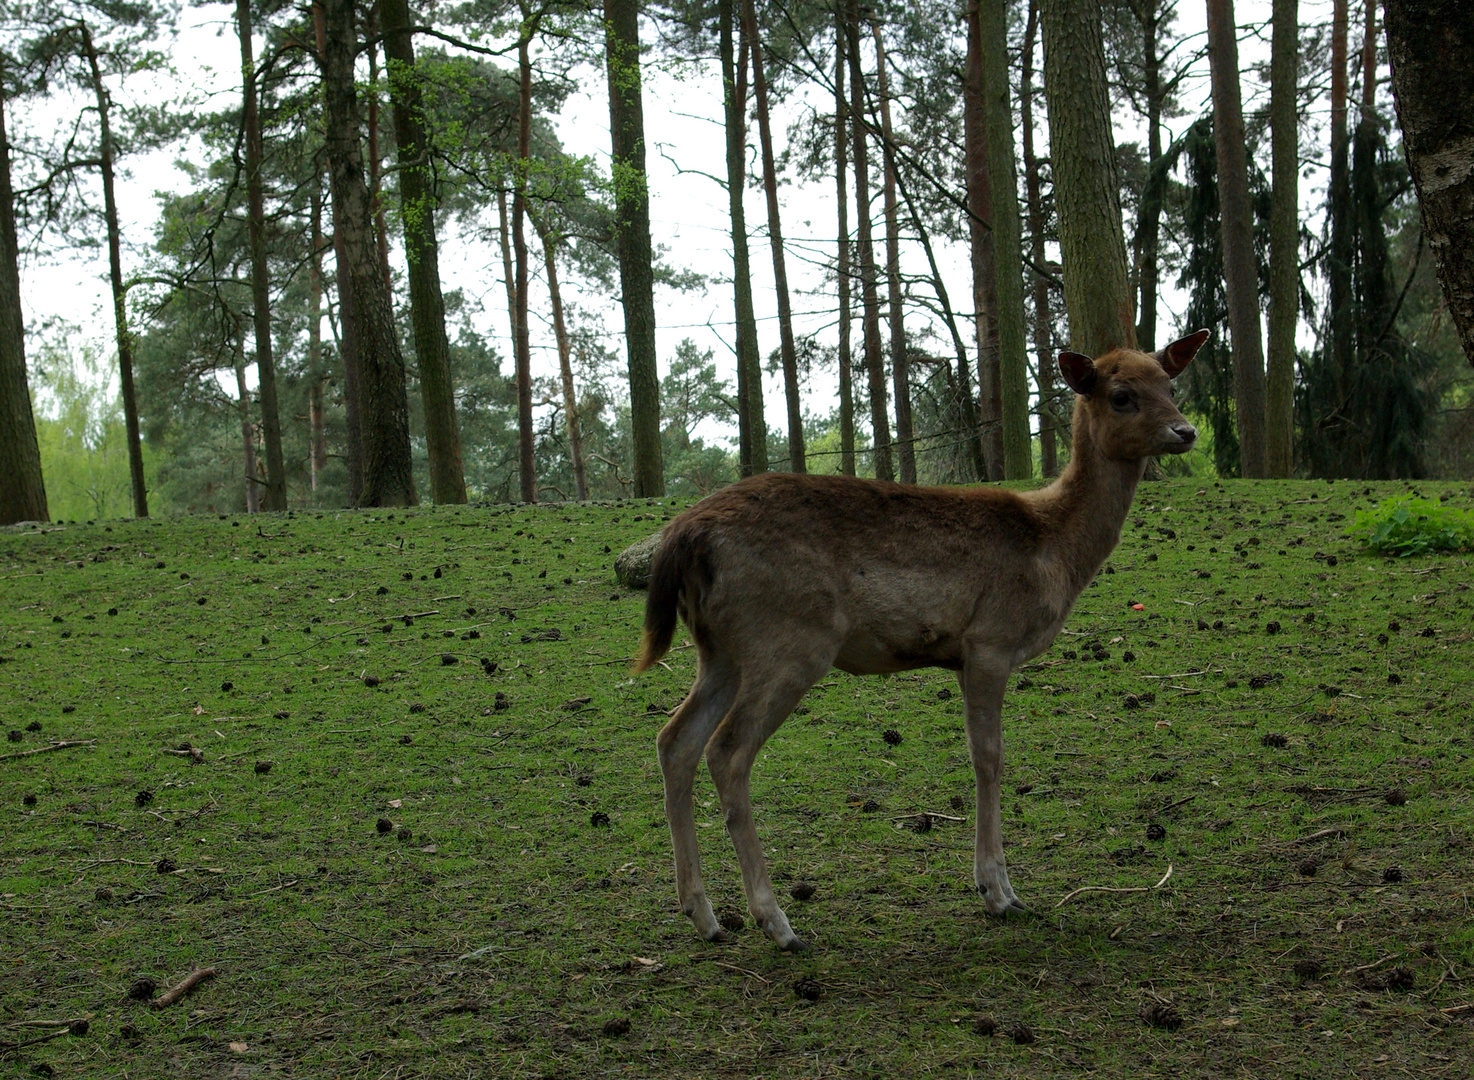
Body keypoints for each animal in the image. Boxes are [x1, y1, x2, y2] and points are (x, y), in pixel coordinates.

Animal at [633, 332, 1208, 948]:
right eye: (1121, 395)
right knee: (727, 750)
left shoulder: (962, 656)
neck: (1055, 551)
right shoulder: (991, 640)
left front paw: (995, 887)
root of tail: (683, 536)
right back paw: (776, 920)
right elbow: (989, 757)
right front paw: (999, 892)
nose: (1185, 432)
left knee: (674, 740)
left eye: (1170, 384)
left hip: (719, 650)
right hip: (789, 641)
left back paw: (704, 915)